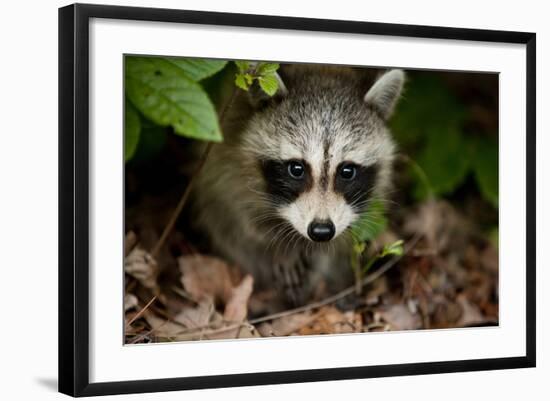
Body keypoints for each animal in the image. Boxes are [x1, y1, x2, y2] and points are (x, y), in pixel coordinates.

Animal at [193, 64, 406, 304]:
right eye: (296, 169)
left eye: (347, 171)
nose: (321, 231)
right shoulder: (230, 162)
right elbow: (244, 215)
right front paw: (282, 247)